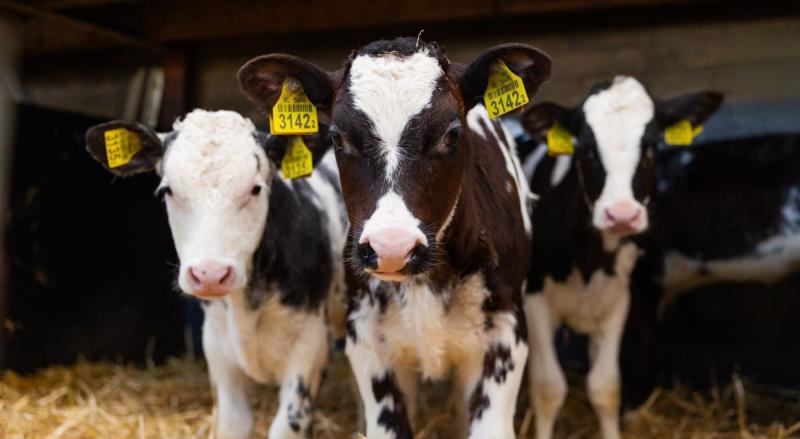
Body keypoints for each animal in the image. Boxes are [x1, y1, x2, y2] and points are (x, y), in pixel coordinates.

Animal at [84, 109, 347, 439]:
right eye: (168, 190)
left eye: (256, 188)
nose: (210, 274)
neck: (247, 309)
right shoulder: (217, 345)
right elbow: (234, 422)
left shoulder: (311, 345)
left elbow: (286, 426)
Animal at [517, 76, 722, 439]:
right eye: (586, 148)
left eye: (652, 146)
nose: (622, 215)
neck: (591, 259)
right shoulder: (535, 300)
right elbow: (548, 387)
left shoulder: (617, 301)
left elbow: (605, 387)